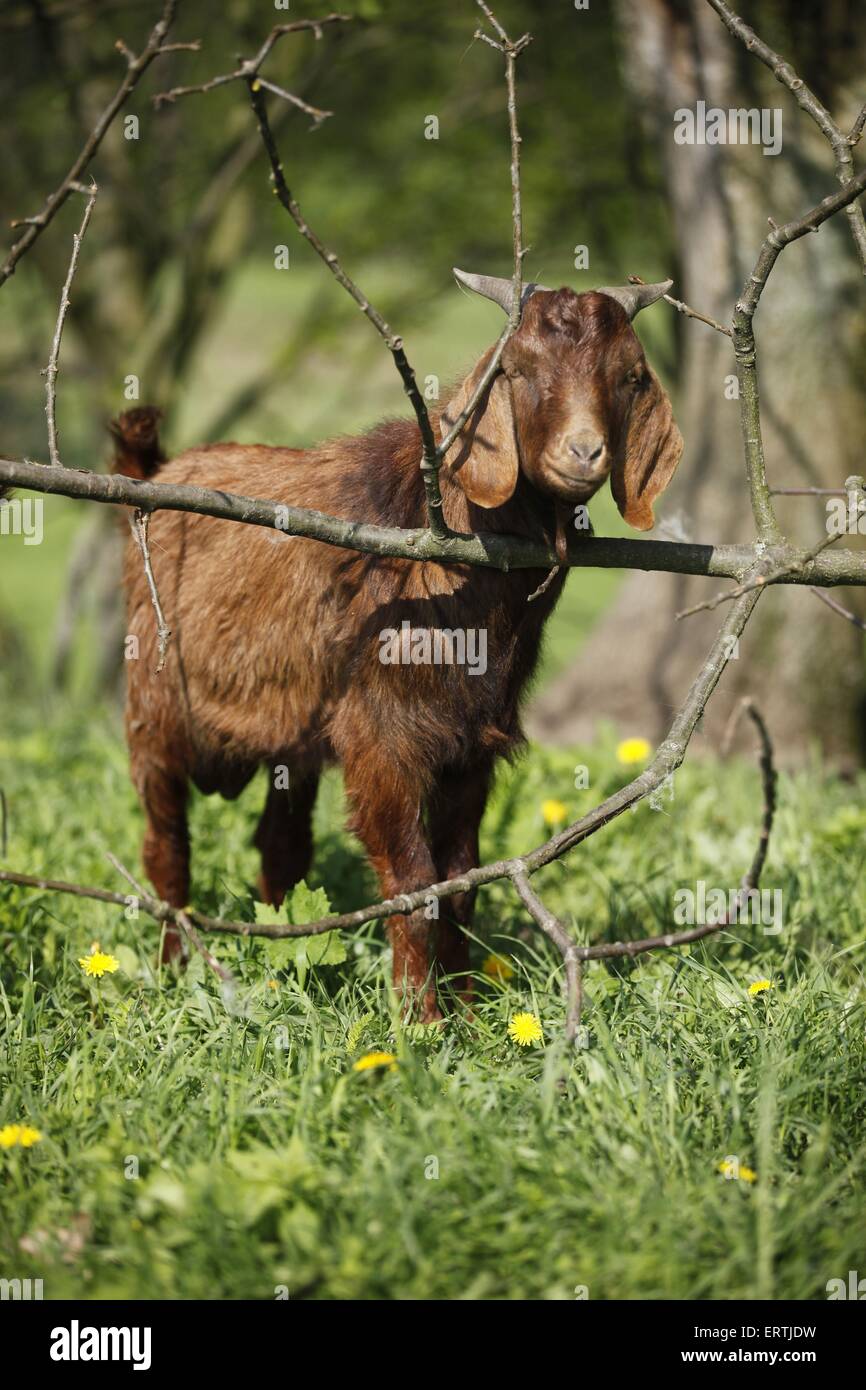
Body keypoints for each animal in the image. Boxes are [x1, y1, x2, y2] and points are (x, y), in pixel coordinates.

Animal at [117, 273, 682, 1020]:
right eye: (517, 371)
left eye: (628, 375)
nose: (584, 453)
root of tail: (152, 473)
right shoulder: (384, 738)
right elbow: (416, 885)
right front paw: (421, 1021)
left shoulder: (472, 745)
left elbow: (461, 882)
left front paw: (470, 1008)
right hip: (153, 707)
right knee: (166, 847)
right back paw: (175, 968)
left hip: (293, 735)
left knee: (281, 846)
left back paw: (279, 956)